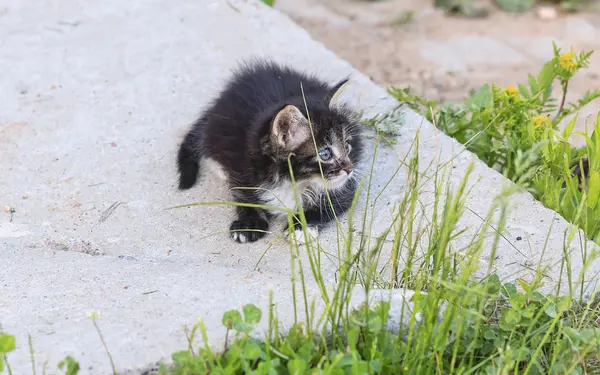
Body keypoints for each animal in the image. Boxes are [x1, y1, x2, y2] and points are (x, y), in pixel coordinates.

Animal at [176, 59, 364, 244]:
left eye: (347, 146)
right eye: (325, 154)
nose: (349, 169)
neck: (293, 182)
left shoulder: (346, 187)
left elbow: (332, 201)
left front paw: (301, 227)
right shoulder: (243, 163)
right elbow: (243, 193)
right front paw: (249, 223)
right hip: (220, 129)